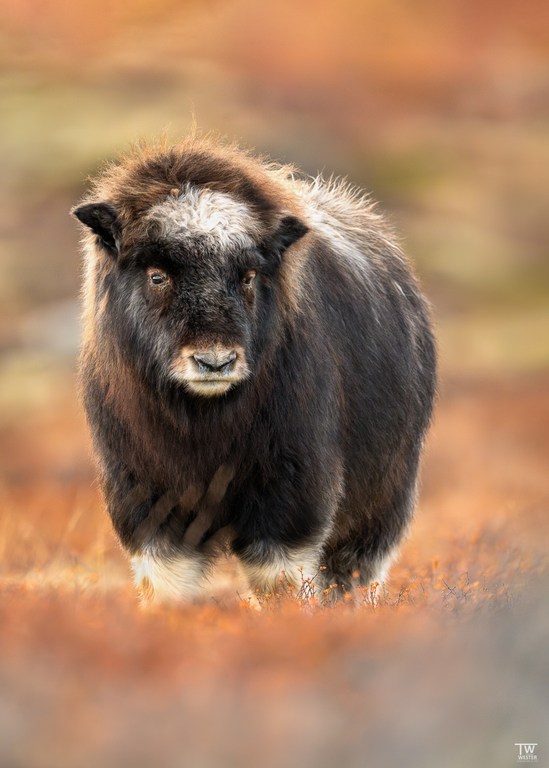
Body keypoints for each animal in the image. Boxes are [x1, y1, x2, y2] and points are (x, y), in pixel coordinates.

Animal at [70, 138, 434, 608]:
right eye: (157, 275)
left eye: (247, 275)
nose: (215, 362)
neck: (203, 422)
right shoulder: (146, 493)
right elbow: (166, 580)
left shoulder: (288, 490)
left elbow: (280, 577)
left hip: (382, 499)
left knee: (353, 568)